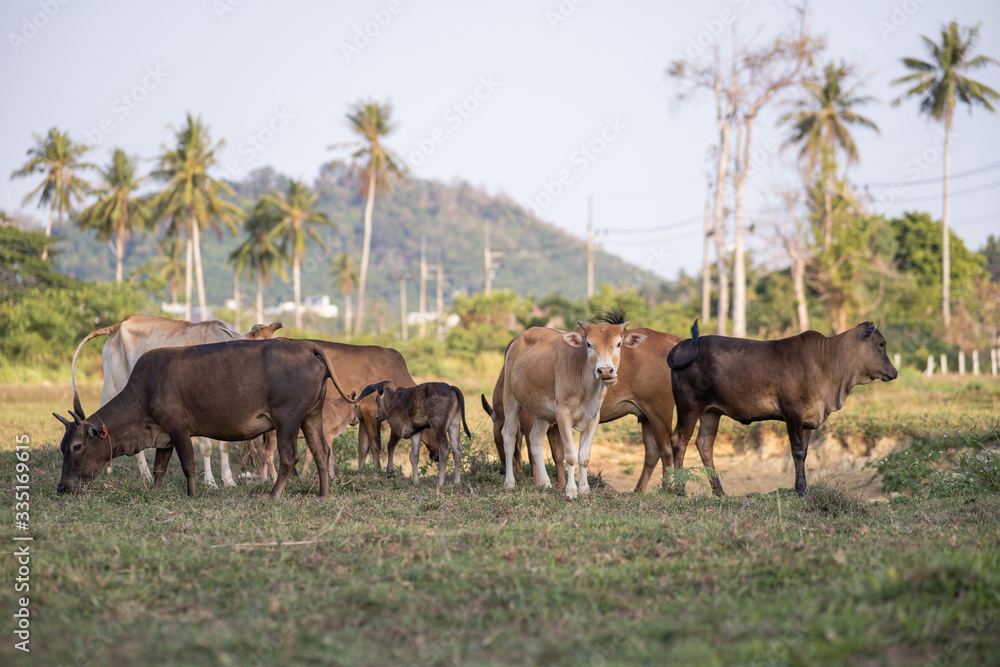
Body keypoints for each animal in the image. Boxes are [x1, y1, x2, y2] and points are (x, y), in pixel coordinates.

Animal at [54, 342, 360, 498]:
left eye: (77, 446)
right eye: (62, 447)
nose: (62, 487)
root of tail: (308, 347)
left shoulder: (178, 427)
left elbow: (189, 464)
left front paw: (192, 495)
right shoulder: (163, 434)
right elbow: (159, 467)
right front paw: (156, 492)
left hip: (287, 419)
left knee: (289, 457)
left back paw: (273, 495)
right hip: (311, 415)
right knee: (320, 452)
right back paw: (323, 494)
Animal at [71, 316, 284, 488]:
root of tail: (118, 325)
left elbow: (224, 446)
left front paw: (229, 480)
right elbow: (206, 448)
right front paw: (211, 482)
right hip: (115, 387)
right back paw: (143, 475)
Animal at [482, 316, 684, 494]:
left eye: (618, 344)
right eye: (589, 344)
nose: (605, 371)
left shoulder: (591, 417)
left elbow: (582, 456)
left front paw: (580, 489)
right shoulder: (561, 415)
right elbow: (569, 454)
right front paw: (571, 490)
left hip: (658, 413)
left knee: (664, 450)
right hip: (513, 400)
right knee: (511, 437)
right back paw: (511, 483)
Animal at [664, 320, 900, 498]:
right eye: (881, 344)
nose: (895, 372)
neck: (827, 363)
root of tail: (685, 343)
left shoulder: (808, 420)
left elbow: (805, 453)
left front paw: (804, 488)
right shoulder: (792, 412)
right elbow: (797, 450)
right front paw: (801, 490)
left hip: (711, 412)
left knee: (704, 444)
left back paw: (720, 492)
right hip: (689, 406)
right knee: (679, 440)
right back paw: (680, 490)